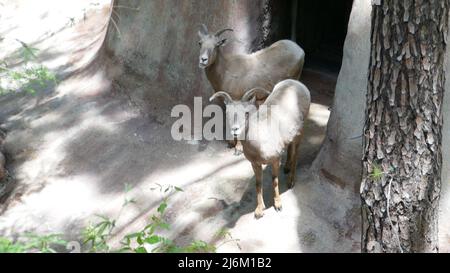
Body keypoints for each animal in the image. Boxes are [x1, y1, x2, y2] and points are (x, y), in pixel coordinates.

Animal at [210, 78, 310, 217]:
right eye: (228, 114)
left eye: (246, 113)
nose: (235, 130)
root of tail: (297, 83)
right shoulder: (255, 163)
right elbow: (258, 184)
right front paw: (259, 210)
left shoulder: (275, 160)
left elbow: (274, 180)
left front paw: (278, 205)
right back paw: (286, 168)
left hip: (300, 132)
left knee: (296, 154)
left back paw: (290, 182)